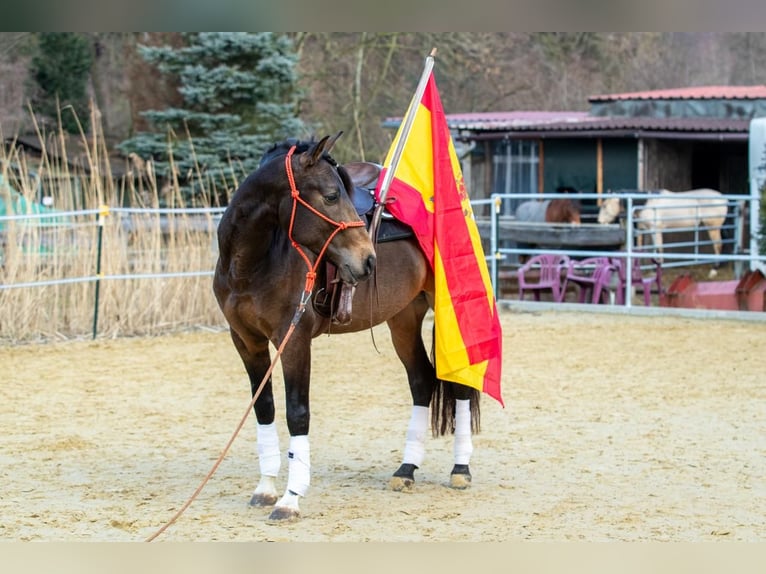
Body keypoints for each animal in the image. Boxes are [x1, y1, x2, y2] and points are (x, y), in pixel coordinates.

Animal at [213, 133, 481, 522]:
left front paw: (291, 498)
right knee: (421, 381)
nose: (368, 259)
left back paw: (460, 469)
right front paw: (265, 488)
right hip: (403, 319)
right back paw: (406, 470)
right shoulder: (246, 341)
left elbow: (298, 413)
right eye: (330, 195)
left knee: (458, 382)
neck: (251, 261)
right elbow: (264, 407)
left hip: (449, 313)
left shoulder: (293, 340)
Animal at [597, 188, 728, 277]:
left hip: (713, 228)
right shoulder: (647, 231)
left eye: (604, 205)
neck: (647, 203)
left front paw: (658, 270)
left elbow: (659, 249)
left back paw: (714, 270)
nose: (599, 221)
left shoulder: (656, 230)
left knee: (718, 245)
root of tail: (724, 199)